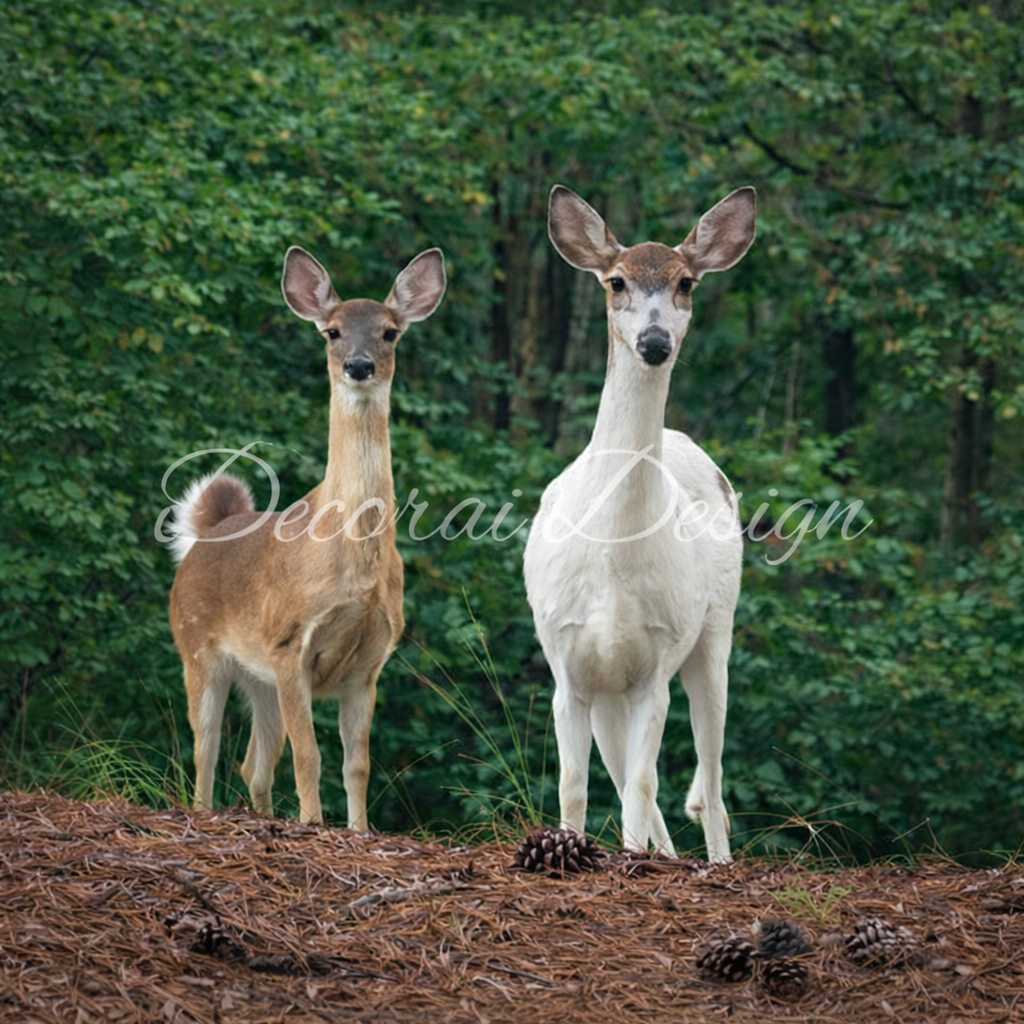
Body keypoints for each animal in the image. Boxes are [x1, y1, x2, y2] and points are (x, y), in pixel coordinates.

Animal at [168, 245, 447, 828]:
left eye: (390, 332)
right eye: (332, 331)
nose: (358, 365)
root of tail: (207, 532)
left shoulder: (369, 662)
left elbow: (356, 764)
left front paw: (358, 829)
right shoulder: (290, 639)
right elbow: (309, 754)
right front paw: (314, 824)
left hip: (260, 679)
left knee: (254, 760)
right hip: (197, 647)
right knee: (206, 745)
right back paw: (204, 812)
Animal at [523, 184, 756, 863]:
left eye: (686, 282)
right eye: (616, 281)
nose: (654, 342)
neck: (612, 552)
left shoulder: (657, 660)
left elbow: (646, 781)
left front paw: (627, 858)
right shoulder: (567, 660)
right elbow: (575, 781)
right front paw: (566, 849)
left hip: (714, 632)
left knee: (710, 778)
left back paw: (711, 861)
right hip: (609, 691)